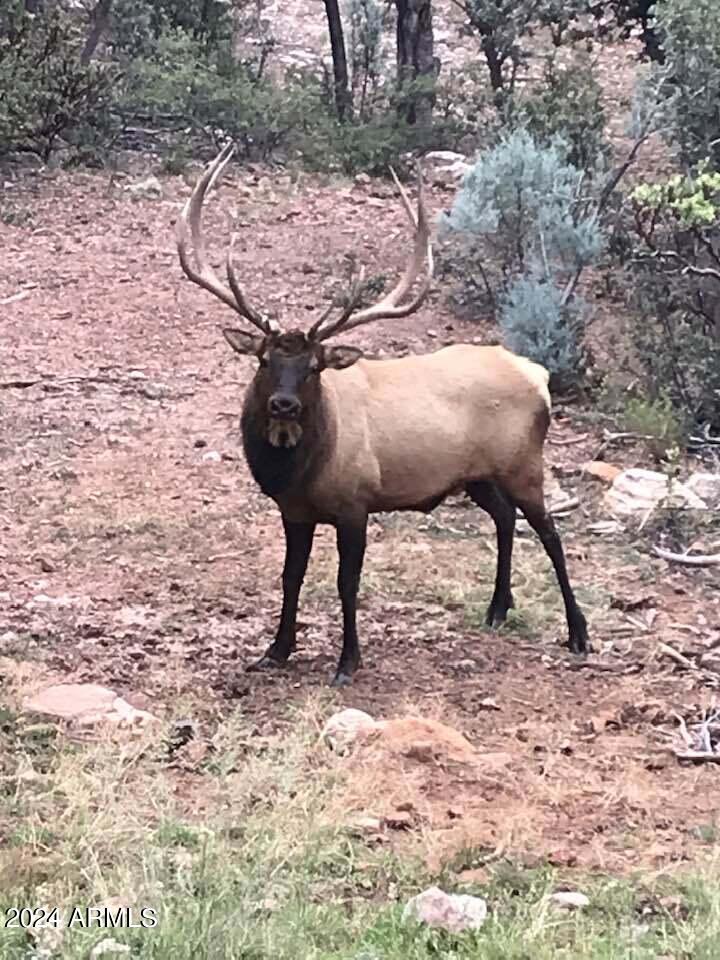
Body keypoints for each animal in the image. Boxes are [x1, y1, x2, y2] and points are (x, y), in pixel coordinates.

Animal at [177, 142, 588, 688]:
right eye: (265, 360)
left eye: (313, 367)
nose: (283, 405)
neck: (301, 472)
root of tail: (537, 374)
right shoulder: (294, 511)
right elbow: (291, 577)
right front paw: (275, 650)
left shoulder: (356, 503)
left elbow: (346, 583)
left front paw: (347, 662)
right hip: (476, 475)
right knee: (504, 519)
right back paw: (497, 608)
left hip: (524, 464)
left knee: (551, 534)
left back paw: (578, 633)